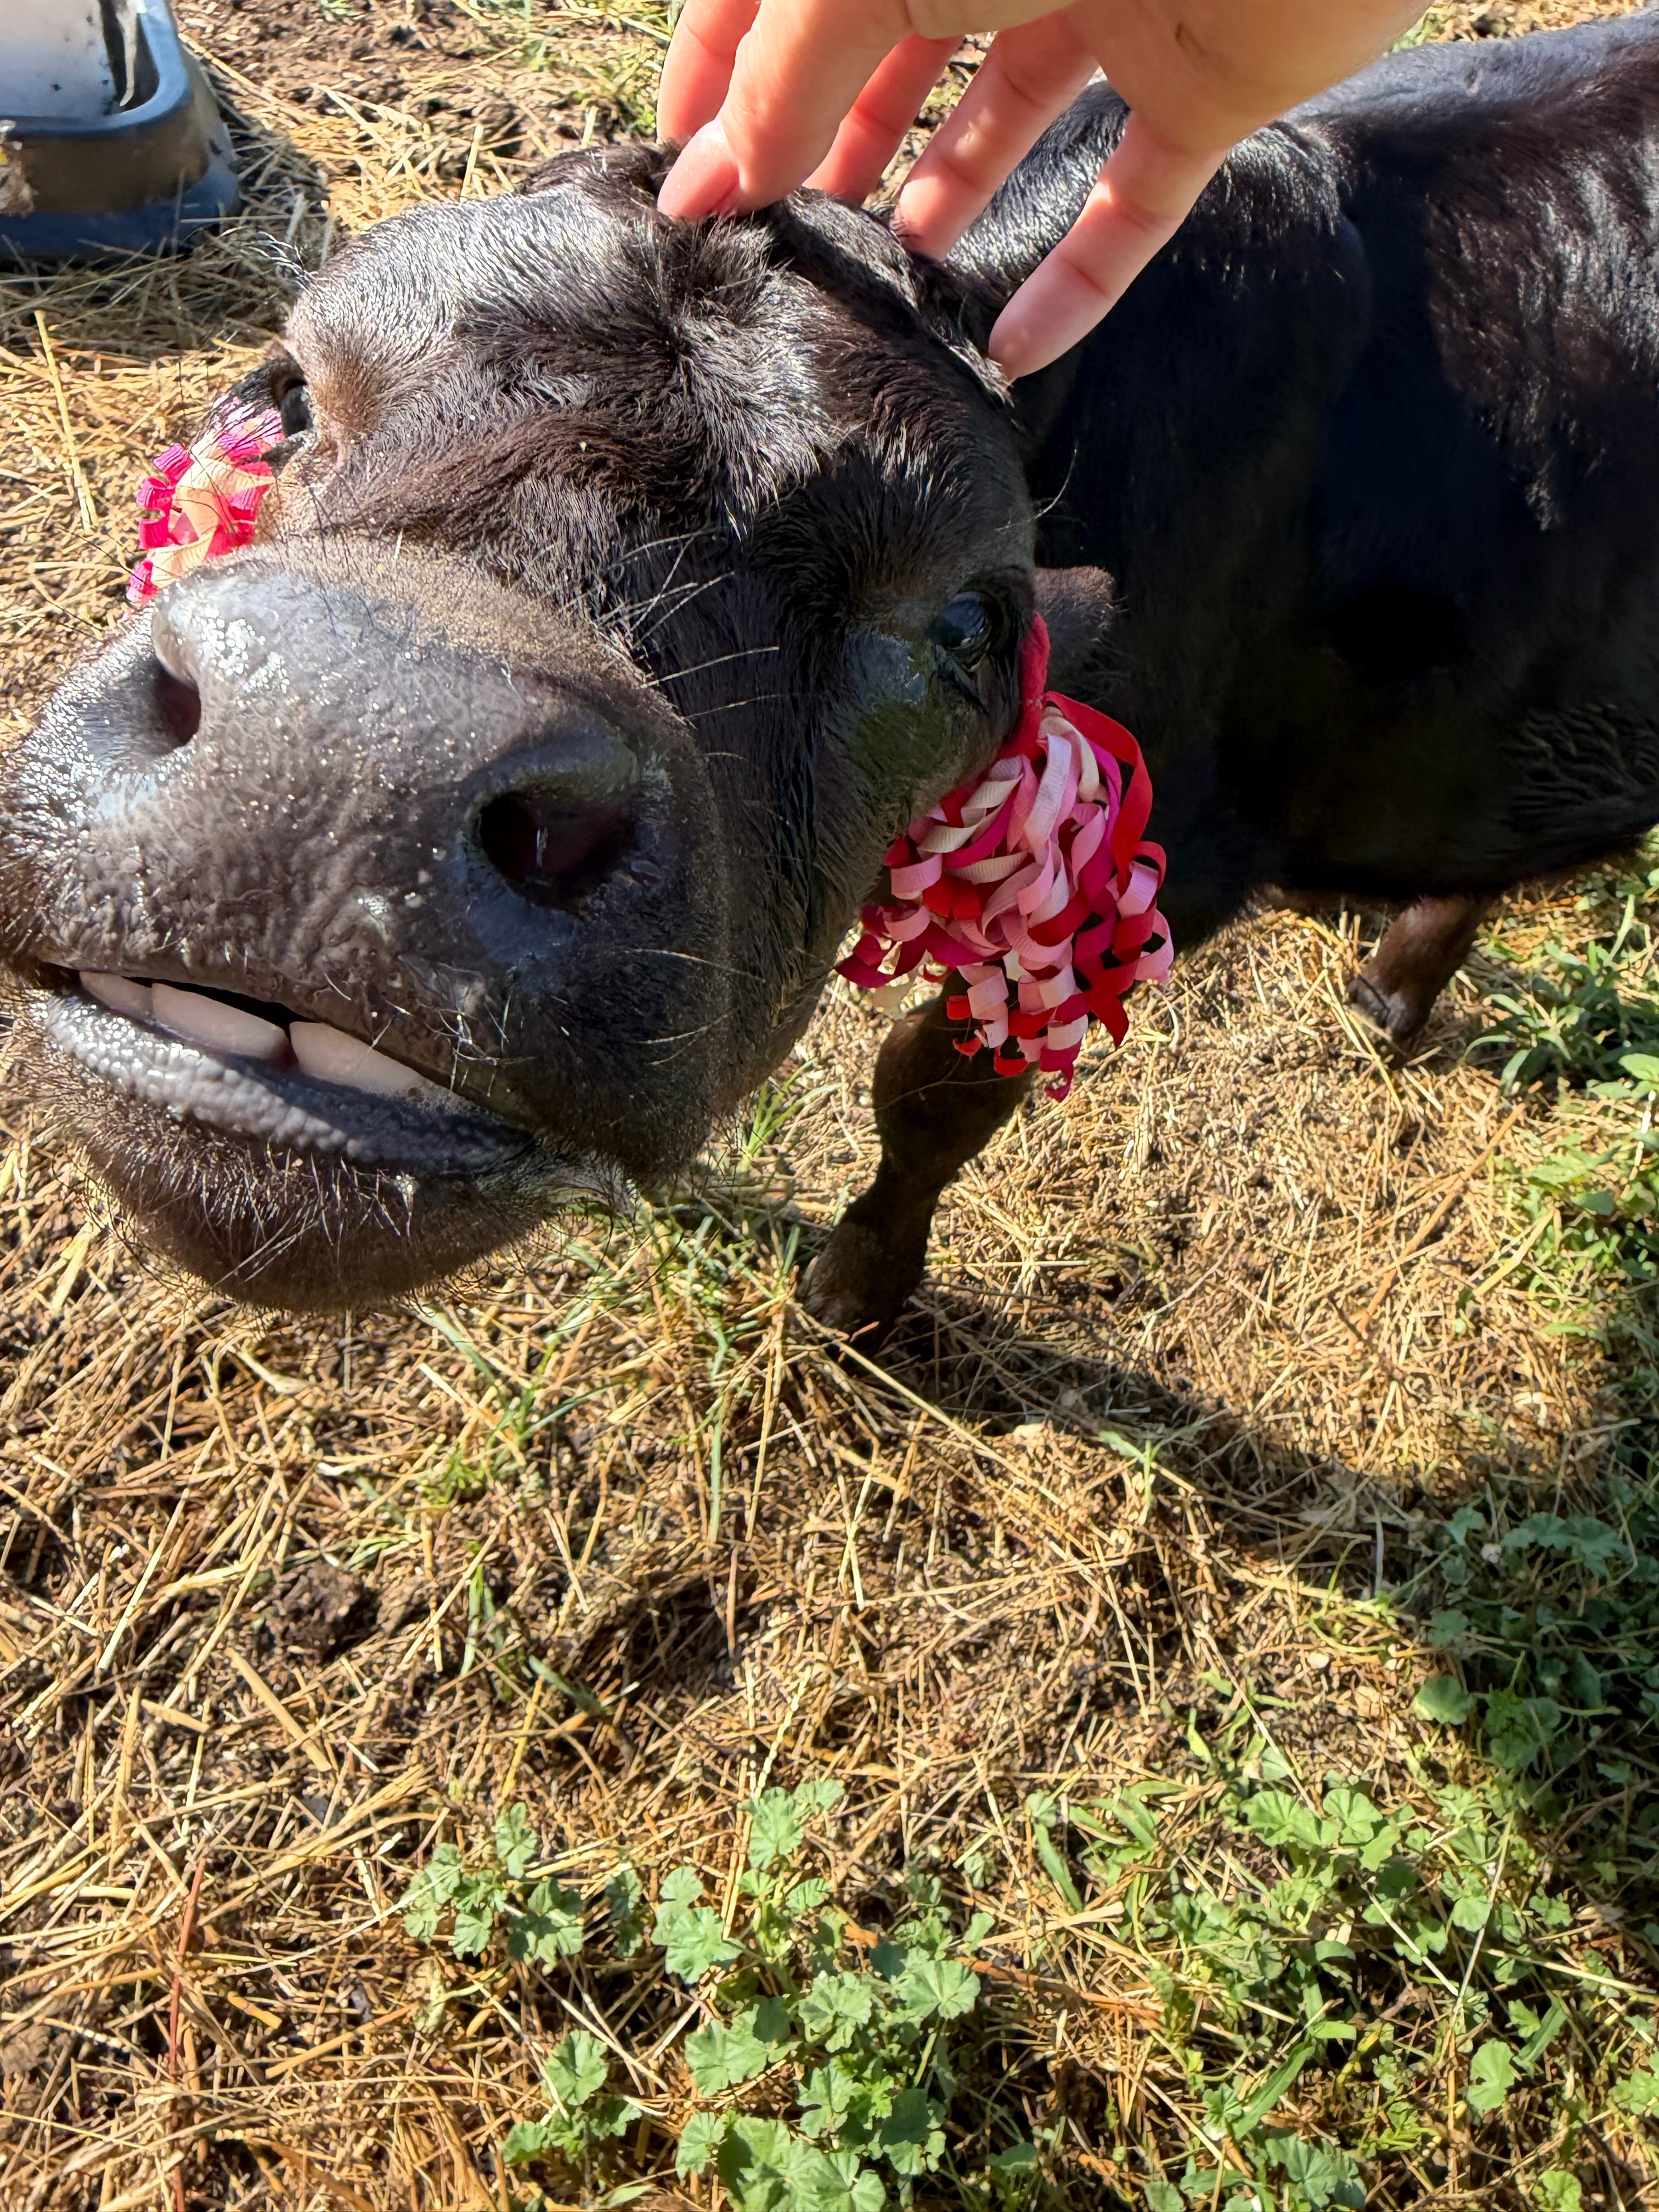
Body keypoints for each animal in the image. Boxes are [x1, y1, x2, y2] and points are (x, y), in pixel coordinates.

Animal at [3, 13, 1658, 1337]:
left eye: (968, 622)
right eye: (291, 390)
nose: (345, 747)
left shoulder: (1149, 880)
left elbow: (930, 1094)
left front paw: (859, 1289)